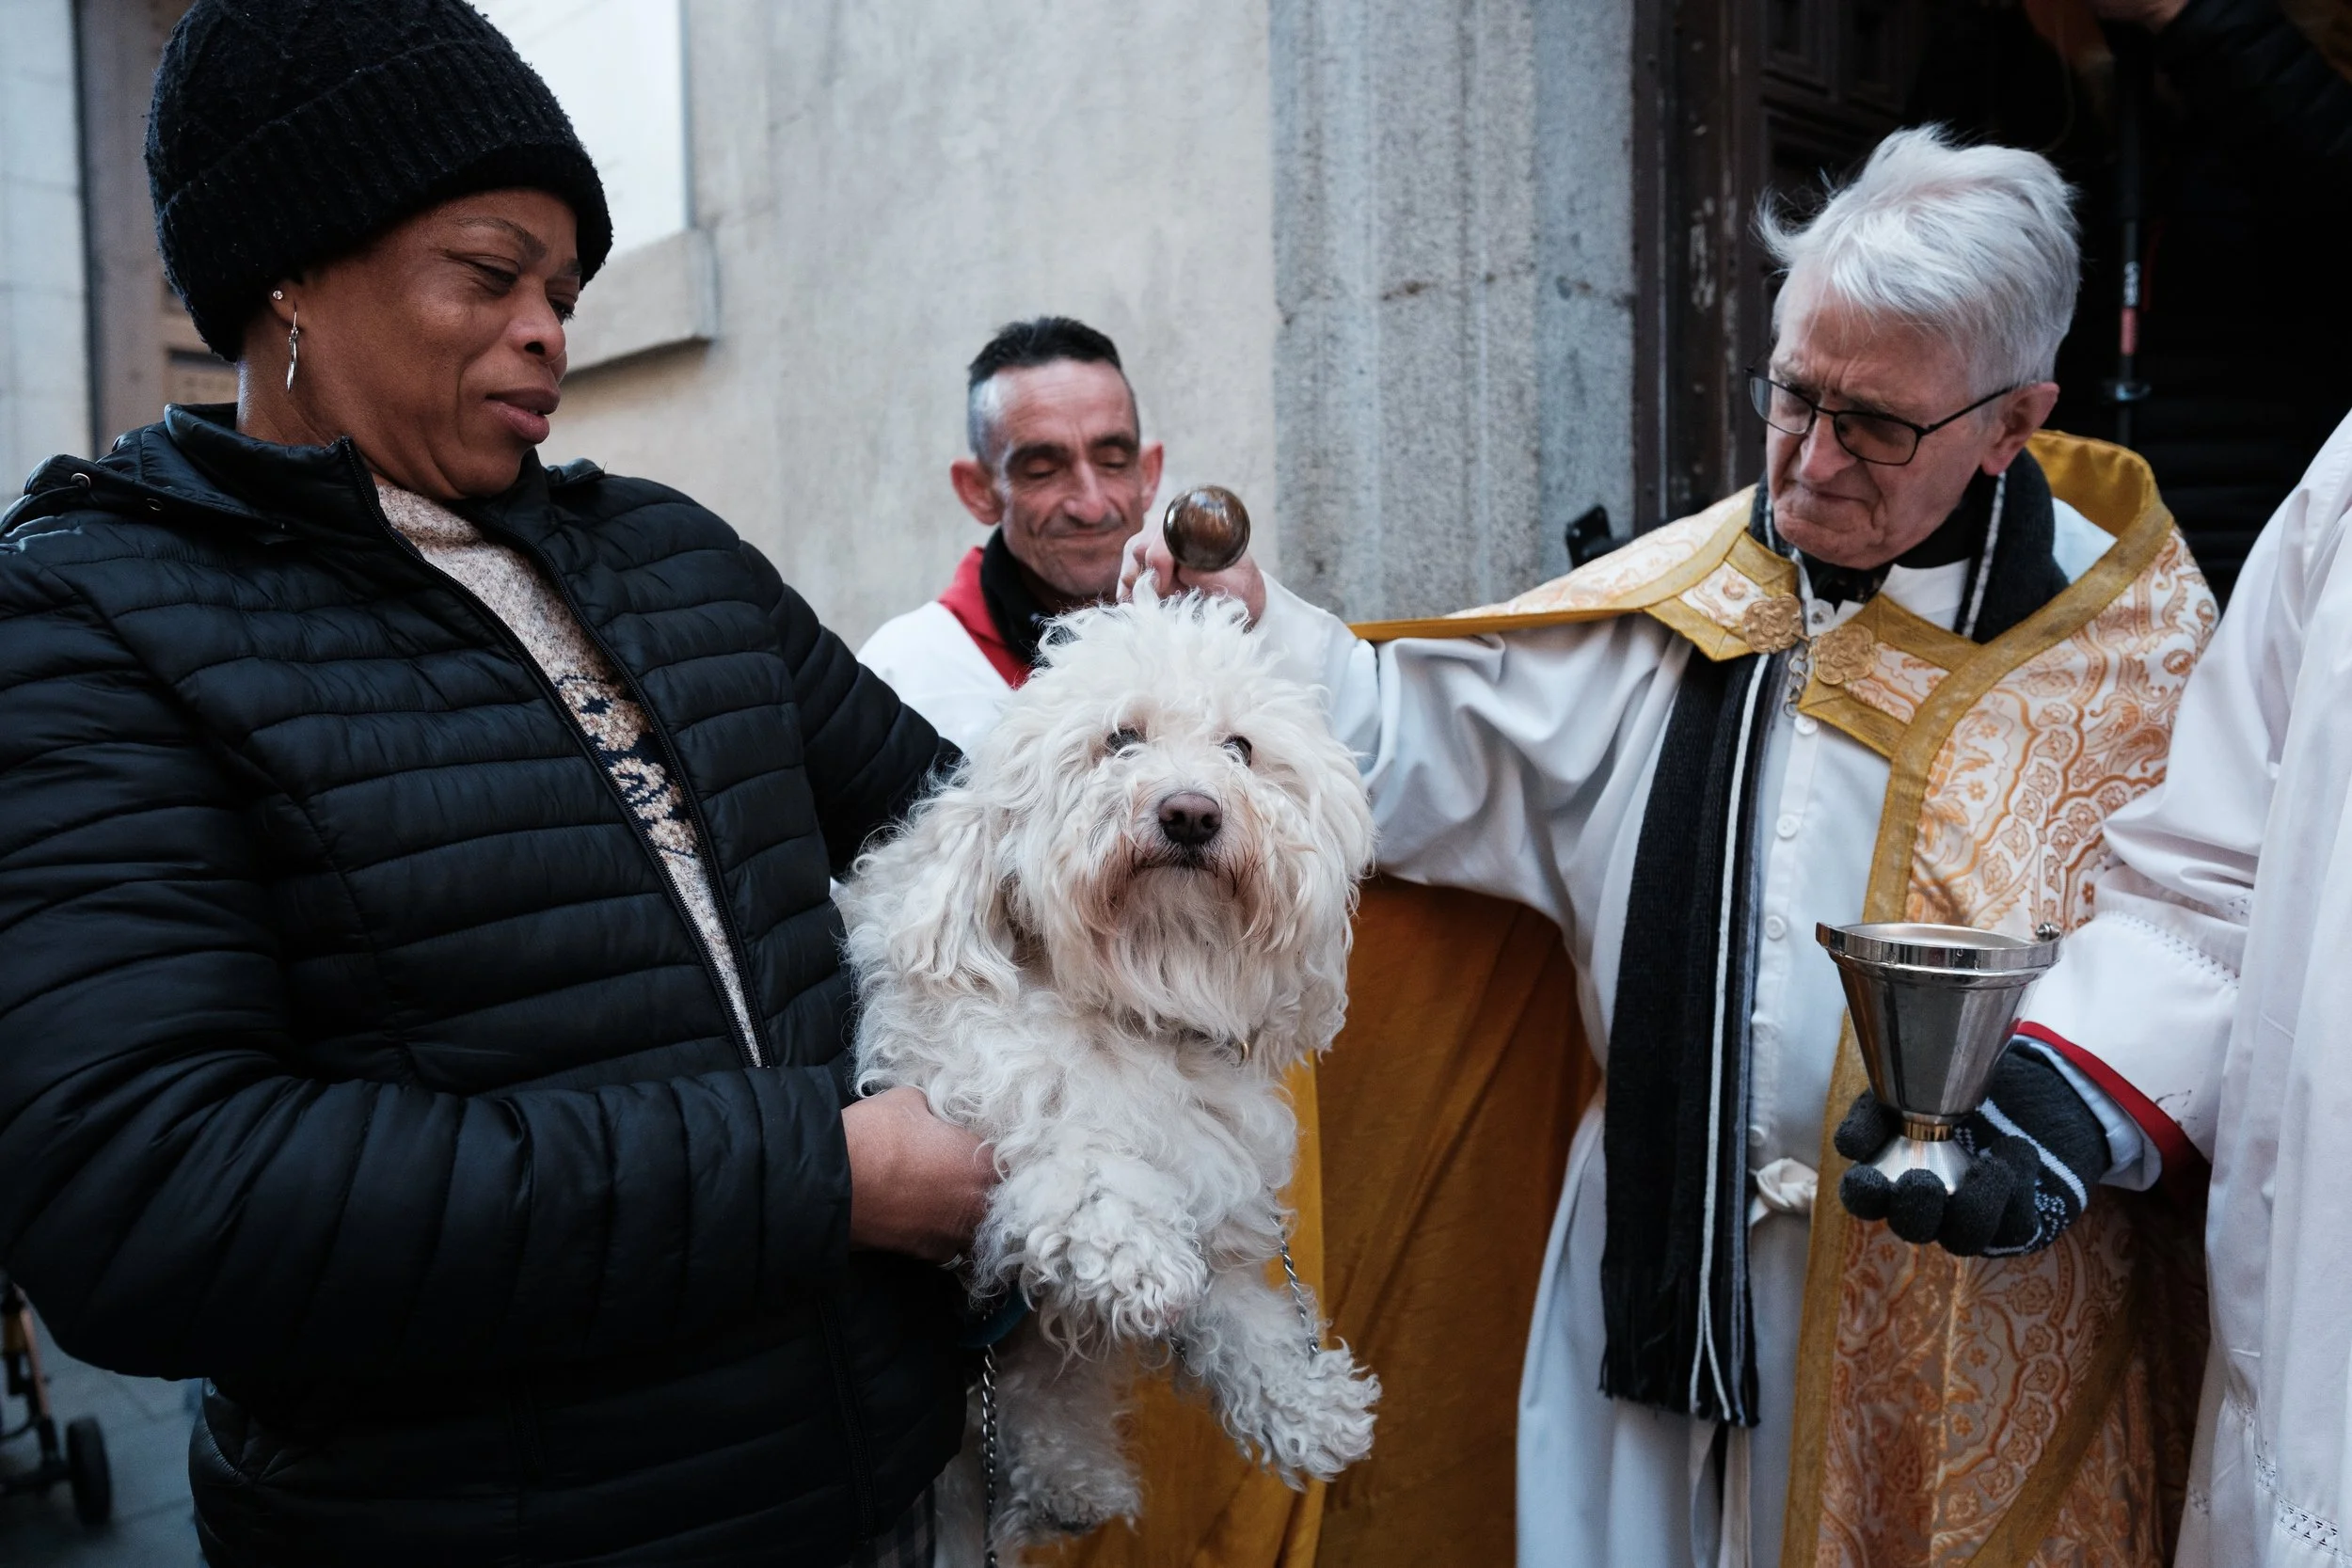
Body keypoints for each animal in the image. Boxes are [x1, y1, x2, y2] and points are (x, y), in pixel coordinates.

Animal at [838, 594, 1380, 1565]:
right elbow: (1087, 1169)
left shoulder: (1211, 1180)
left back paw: (1069, 1485)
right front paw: (1132, 1253)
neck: (1138, 1005)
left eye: (1240, 747)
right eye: (1120, 739)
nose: (1191, 812)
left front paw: (1305, 1401)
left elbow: (1239, 1316)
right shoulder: (989, 1099)